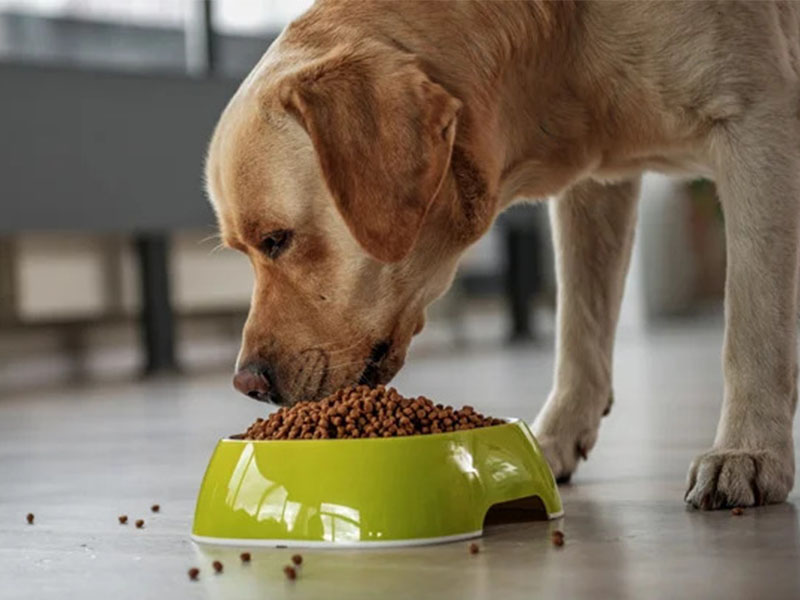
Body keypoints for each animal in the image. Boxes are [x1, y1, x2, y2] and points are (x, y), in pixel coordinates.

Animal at [208, 1, 800, 510]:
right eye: (242, 250)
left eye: (276, 239)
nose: (248, 383)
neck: (558, 41)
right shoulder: (596, 185)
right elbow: (579, 331)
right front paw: (554, 439)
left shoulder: (758, 126)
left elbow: (751, 325)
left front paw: (748, 450)